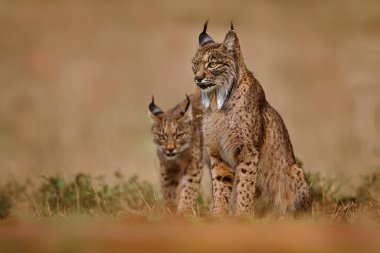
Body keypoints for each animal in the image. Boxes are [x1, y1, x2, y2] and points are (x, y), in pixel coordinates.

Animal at [190, 22, 312, 217]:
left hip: (294, 169)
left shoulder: (247, 150)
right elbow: (220, 186)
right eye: (195, 65)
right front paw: (218, 215)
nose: (197, 78)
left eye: (212, 64)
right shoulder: (217, 152)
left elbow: (245, 184)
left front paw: (244, 215)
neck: (217, 102)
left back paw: (279, 215)